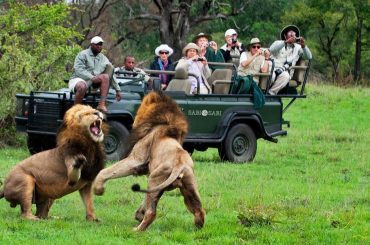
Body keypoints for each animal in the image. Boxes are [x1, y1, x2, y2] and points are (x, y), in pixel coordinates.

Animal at [93, 91, 205, 231]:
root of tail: (180, 165)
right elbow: (145, 199)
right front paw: (139, 214)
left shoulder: (135, 160)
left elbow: (105, 171)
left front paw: (98, 189)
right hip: (188, 187)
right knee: (199, 210)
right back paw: (196, 228)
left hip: (154, 178)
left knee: (152, 213)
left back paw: (136, 230)